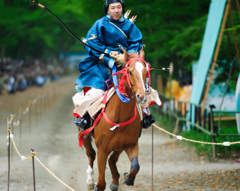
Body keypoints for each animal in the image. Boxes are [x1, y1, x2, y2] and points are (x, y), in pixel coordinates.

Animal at [81, 48, 148, 190]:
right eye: (130, 72)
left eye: (145, 72)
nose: (142, 96)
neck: (119, 116)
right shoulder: (102, 149)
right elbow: (101, 184)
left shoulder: (131, 144)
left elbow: (135, 166)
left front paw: (128, 178)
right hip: (84, 133)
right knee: (91, 154)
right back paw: (90, 180)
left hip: (119, 145)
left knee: (112, 159)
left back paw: (115, 180)